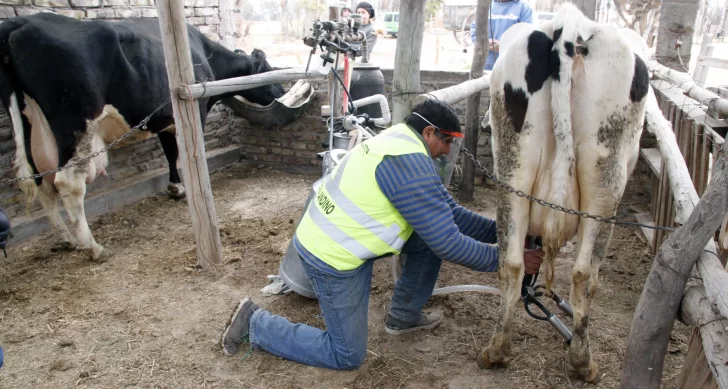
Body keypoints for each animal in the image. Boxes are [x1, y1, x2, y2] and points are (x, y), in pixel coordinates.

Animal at [0, 12, 286, 260]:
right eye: (268, 70)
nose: (283, 90)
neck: (204, 54)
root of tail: (23, 21)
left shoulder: (163, 118)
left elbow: (170, 152)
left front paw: (175, 187)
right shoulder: (195, 111)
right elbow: (187, 153)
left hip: (30, 128)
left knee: (41, 183)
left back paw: (66, 239)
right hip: (75, 126)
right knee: (68, 184)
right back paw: (93, 247)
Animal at [478, 3, 648, 382]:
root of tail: (570, 26)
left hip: (513, 163)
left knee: (511, 262)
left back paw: (496, 352)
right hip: (606, 177)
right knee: (586, 274)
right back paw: (583, 363)